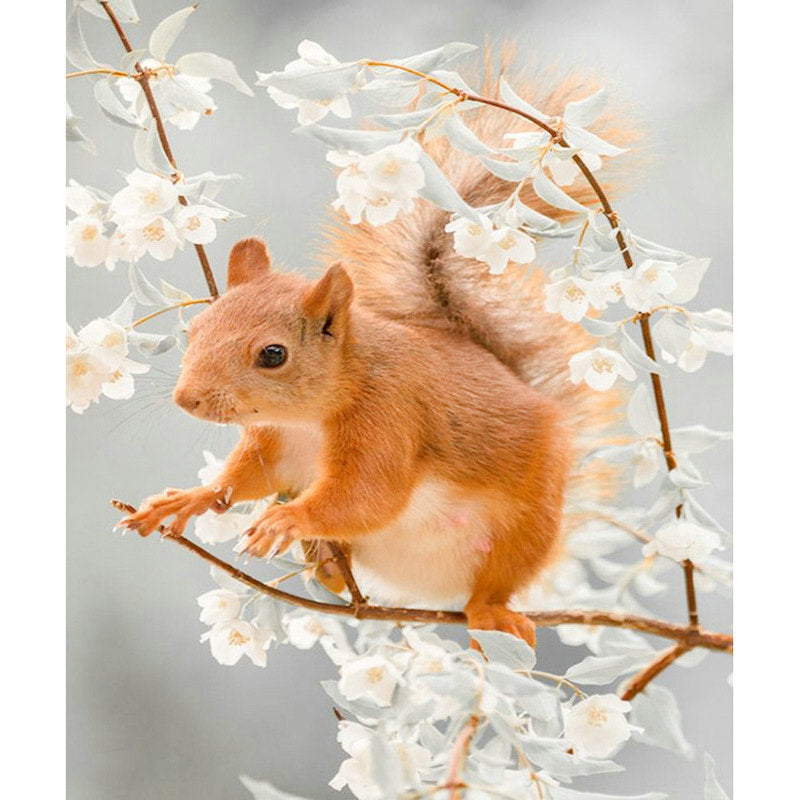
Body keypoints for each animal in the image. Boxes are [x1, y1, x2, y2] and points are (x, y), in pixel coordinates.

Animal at [120, 55, 632, 648]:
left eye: (273, 355)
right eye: (195, 329)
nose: (188, 400)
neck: (308, 419)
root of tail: (431, 591)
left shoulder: (389, 417)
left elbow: (369, 495)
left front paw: (289, 519)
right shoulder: (276, 445)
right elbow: (245, 480)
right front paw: (191, 498)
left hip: (528, 526)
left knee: (497, 580)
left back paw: (489, 613)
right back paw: (325, 565)